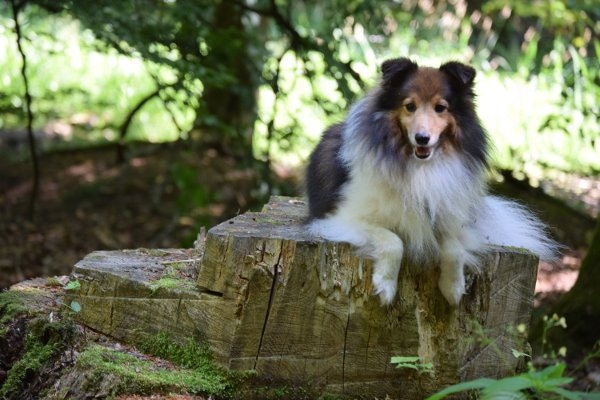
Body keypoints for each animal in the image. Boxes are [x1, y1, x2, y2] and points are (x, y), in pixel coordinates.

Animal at [304, 57, 556, 306]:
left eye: (440, 108)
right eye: (409, 106)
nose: (422, 138)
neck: (421, 166)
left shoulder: (448, 222)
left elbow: (455, 249)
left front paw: (454, 288)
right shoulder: (343, 219)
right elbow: (393, 241)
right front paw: (385, 286)